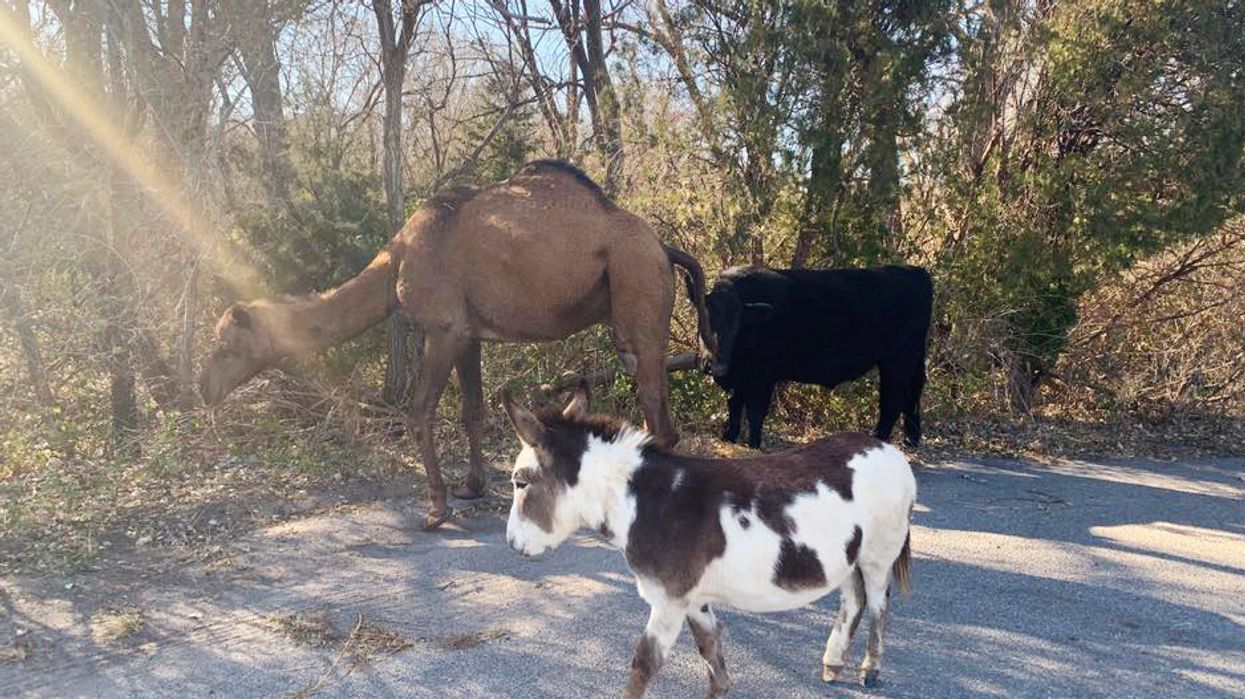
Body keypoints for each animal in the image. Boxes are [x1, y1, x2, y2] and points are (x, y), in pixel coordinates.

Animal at [199, 160, 717, 528]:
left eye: (225, 346)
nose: (202, 389)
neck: (397, 261)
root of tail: (662, 247)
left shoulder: (442, 328)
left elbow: (420, 410)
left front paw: (437, 508)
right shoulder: (469, 335)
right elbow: (472, 408)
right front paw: (471, 487)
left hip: (636, 295)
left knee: (657, 417)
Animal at [701, 265, 933, 449]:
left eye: (735, 323)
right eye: (703, 322)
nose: (712, 365)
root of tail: (916, 272)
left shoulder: (762, 377)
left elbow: (755, 411)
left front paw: (754, 444)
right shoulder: (736, 379)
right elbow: (734, 406)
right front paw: (729, 437)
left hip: (897, 359)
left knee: (894, 398)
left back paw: (878, 437)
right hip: (911, 360)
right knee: (912, 395)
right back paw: (910, 439)